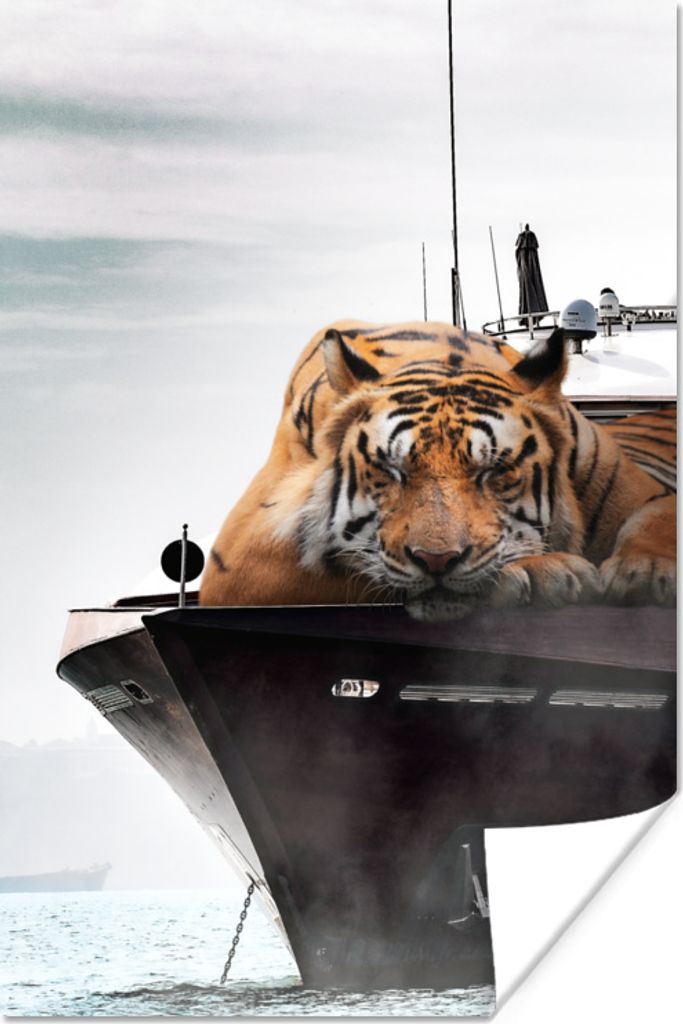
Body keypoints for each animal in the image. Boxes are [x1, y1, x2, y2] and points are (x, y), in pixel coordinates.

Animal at [199, 321, 676, 621]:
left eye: (494, 471)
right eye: (391, 470)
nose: (437, 560)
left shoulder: (639, 490)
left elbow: (658, 518)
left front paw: (647, 572)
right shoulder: (240, 557)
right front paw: (542, 571)